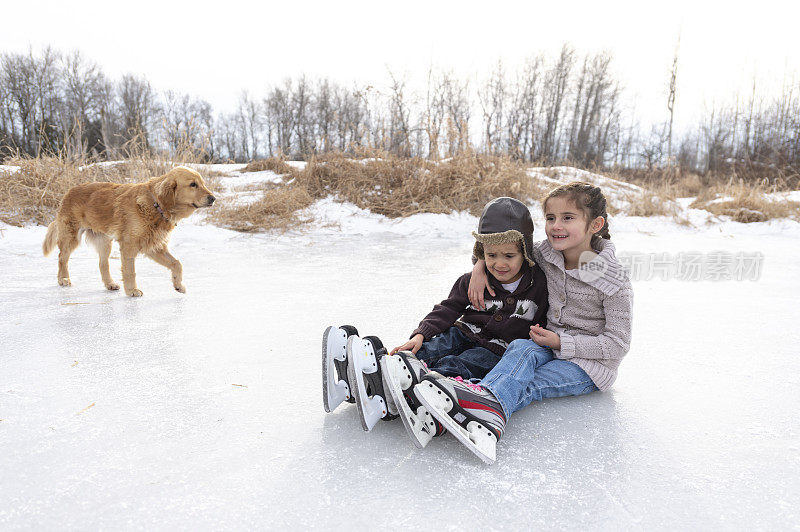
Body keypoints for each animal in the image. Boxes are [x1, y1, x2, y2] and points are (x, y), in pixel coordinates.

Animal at [40, 166, 216, 298]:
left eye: (202, 183)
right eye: (193, 184)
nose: (213, 198)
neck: (156, 205)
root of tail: (69, 191)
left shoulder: (154, 247)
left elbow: (177, 264)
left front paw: (178, 285)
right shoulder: (129, 246)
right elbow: (130, 271)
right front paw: (132, 290)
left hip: (105, 241)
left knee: (103, 264)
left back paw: (110, 284)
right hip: (71, 237)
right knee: (62, 258)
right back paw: (63, 279)